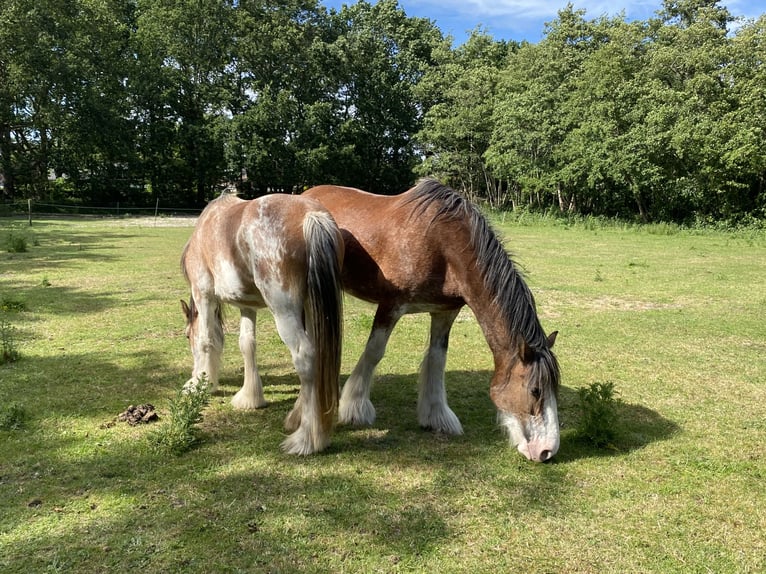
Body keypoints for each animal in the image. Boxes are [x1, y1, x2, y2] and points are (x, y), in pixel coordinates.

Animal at [180, 193, 344, 455]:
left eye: (187, 335)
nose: (195, 376)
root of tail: (311, 216)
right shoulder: (247, 306)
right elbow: (247, 345)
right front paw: (249, 398)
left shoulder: (203, 293)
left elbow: (207, 340)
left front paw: (199, 384)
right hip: (311, 306)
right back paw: (297, 417)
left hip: (285, 310)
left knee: (305, 356)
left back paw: (306, 439)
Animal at [304, 179, 560, 462]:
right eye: (535, 390)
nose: (547, 451)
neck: (443, 245)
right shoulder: (391, 305)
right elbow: (374, 353)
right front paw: (355, 408)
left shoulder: (444, 312)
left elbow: (437, 359)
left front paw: (437, 417)